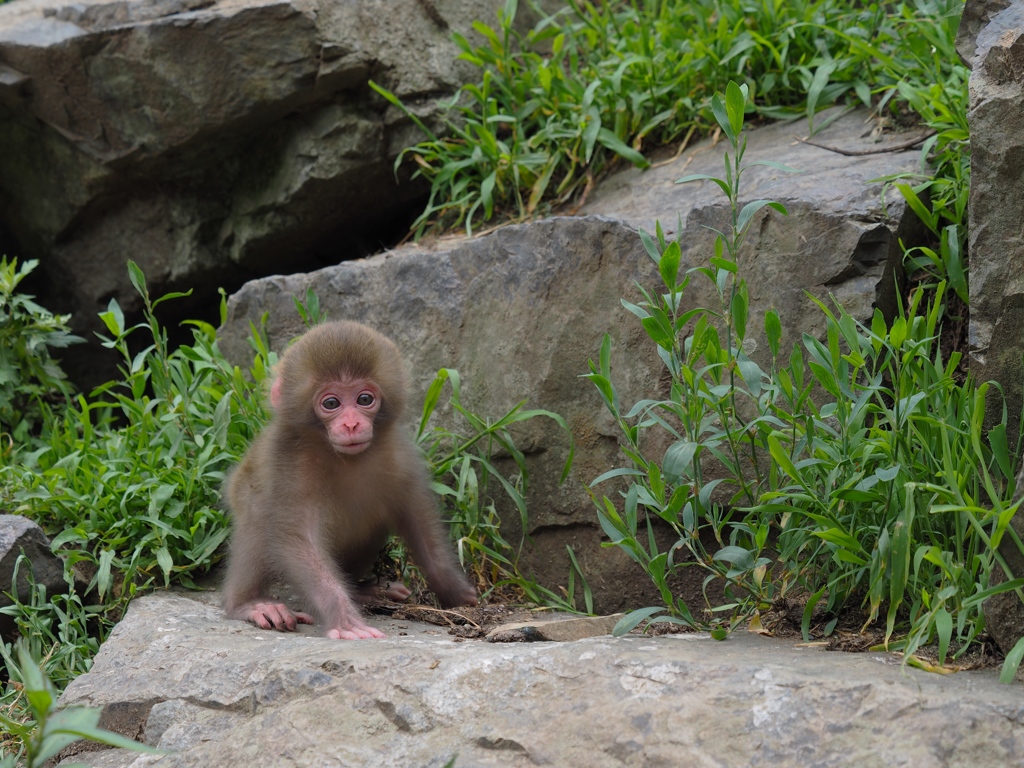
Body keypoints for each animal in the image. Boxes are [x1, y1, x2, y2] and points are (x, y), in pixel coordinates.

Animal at [222, 321, 477, 638]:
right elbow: (299, 537)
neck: (343, 457)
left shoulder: (399, 455)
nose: (352, 424)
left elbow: (418, 519)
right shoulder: (291, 460)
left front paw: (455, 590)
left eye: (364, 399)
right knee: (256, 516)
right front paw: (344, 619)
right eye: (331, 403)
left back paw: (364, 591)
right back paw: (251, 604)